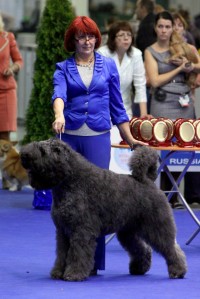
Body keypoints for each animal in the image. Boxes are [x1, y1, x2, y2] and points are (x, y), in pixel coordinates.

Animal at [19, 139, 187, 282]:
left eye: (42, 150)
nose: (24, 154)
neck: (71, 181)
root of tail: (147, 181)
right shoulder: (63, 232)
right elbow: (62, 254)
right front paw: (58, 272)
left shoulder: (81, 231)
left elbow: (77, 254)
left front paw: (74, 274)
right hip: (128, 232)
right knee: (142, 249)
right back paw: (139, 268)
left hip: (157, 227)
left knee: (171, 248)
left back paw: (178, 271)